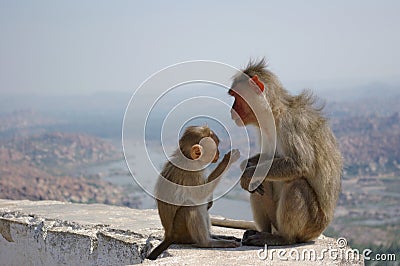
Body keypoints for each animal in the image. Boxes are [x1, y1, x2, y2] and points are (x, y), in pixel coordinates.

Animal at [147, 125, 241, 260]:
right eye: (215, 147)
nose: (218, 153)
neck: (188, 157)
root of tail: (169, 236)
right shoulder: (192, 172)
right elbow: (200, 194)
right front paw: (228, 160)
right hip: (181, 232)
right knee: (190, 206)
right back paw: (207, 242)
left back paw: (214, 236)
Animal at [230, 58, 342, 245]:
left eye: (236, 97)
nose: (231, 110)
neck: (274, 114)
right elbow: (267, 158)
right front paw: (246, 165)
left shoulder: (291, 124)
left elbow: (299, 164)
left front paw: (247, 173)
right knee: (263, 180)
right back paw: (263, 232)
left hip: (312, 225)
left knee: (296, 183)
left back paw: (283, 238)